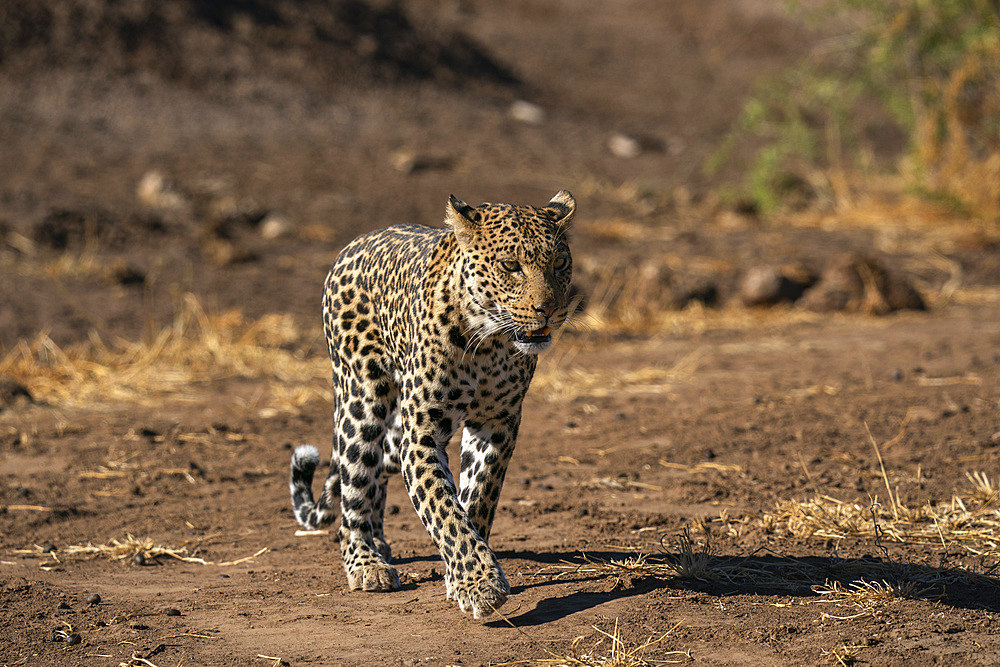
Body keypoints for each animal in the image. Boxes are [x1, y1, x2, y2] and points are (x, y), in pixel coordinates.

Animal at [288, 190, 580, 620]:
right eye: (511, 266)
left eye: (559, 263)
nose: (549, 309)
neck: (490, 345)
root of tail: (354, 243)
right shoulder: (421, 435)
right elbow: (445, 510)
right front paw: (480, 584)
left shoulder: (497, 424)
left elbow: (477, 499)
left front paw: (460, 578)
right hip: (362, 399)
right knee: (353, 482)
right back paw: (367, 562)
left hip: (392, 429)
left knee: (375, 472)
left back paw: (380, 541)